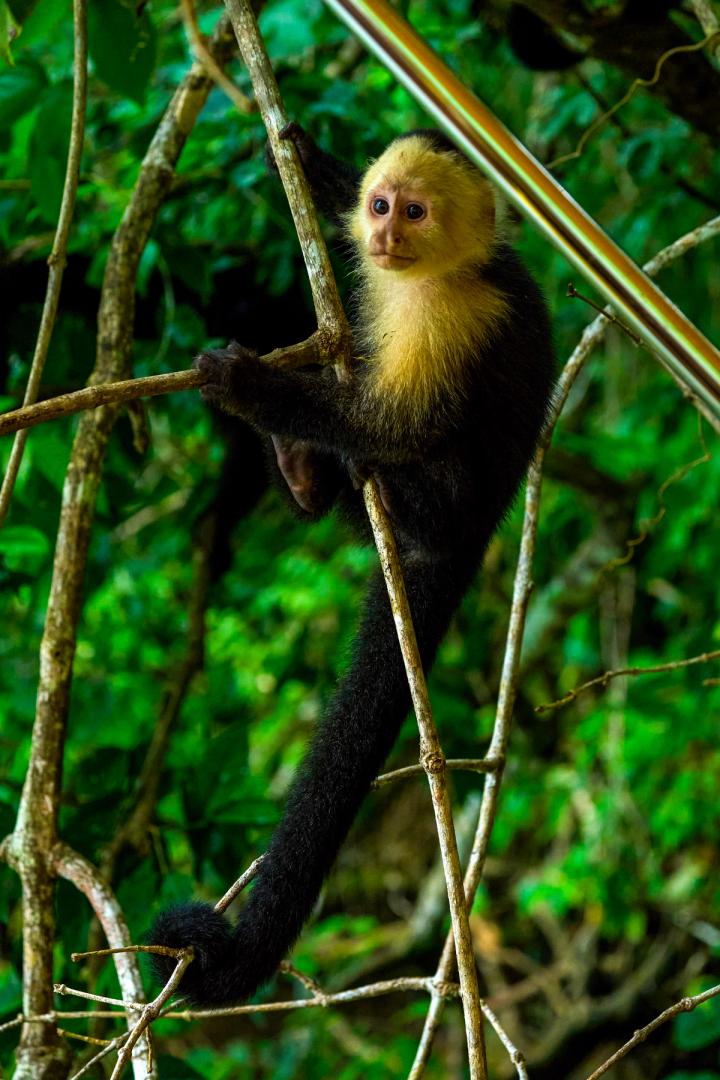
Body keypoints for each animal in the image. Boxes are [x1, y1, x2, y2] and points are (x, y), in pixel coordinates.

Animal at [149, 128, 555, 1006]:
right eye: (380, 203)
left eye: (416, 212)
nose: (385, 234)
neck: (435, 271)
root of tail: (473, 540)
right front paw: (307, 154)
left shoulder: (454, 316)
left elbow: (392, 426)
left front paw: (252, 387)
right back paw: (302, 473)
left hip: (449, 515)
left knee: (413, 465)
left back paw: (355, 478)